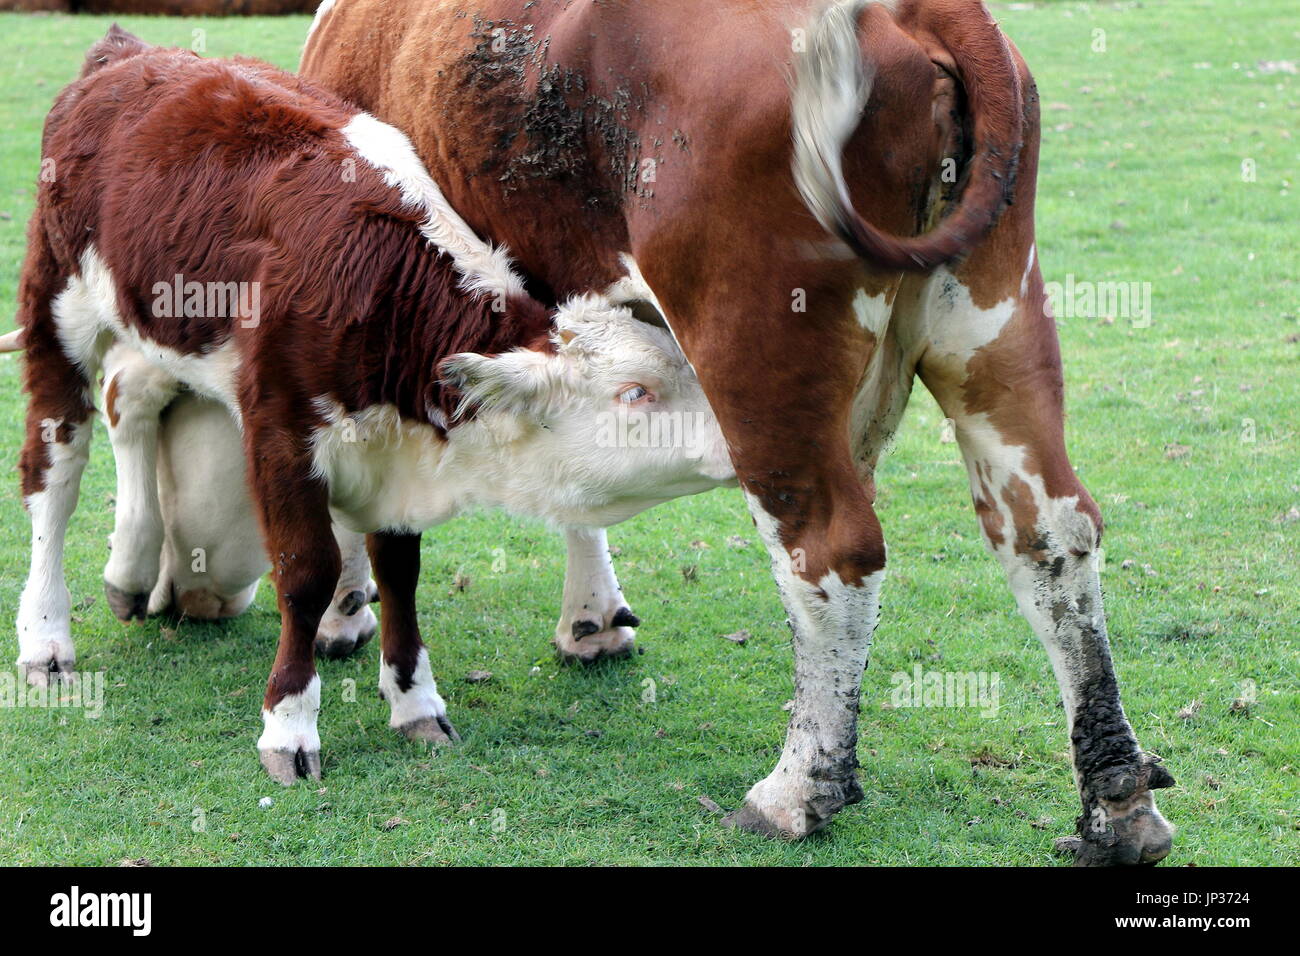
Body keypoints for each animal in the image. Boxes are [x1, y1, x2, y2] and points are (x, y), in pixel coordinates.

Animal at [13, 27, 732, 784]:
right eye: (636, 393)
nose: (740, 442)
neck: (386, 289)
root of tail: (128, 52)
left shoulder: (395, 450)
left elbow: (401, 573)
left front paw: (415, 702)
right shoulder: (280, 432)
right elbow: (307, 573)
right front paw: (289, 725)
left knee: (131, 402)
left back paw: (130, 573)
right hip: (55, 310)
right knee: (54, 476)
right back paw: (45, 638)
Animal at [300, 0, 1177, 864]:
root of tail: (920, 11)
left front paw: (344, 611)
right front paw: (593, 619)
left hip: (759, 365)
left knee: (831, 551)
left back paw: (797, 792)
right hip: (995, 323)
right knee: (1050, 531)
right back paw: (1117, 800)